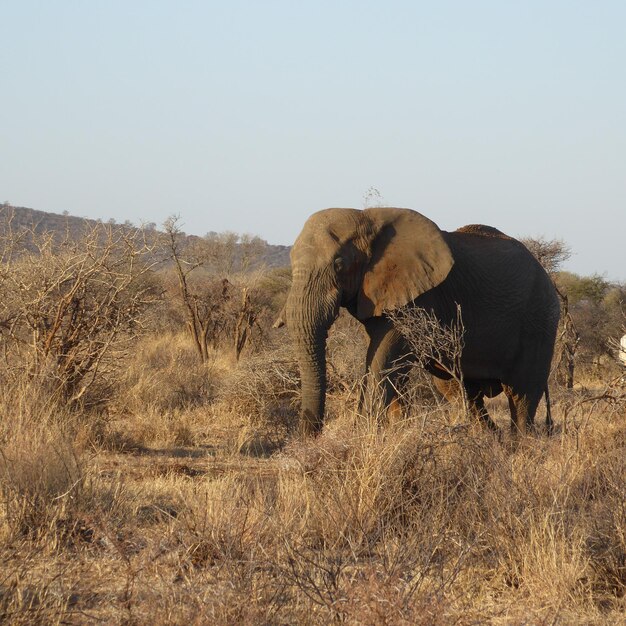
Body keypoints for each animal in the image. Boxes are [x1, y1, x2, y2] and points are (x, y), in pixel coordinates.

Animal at [282, 207, 560, 436]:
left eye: (339, 264)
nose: (310, 436)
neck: (368, 217)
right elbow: (386, 360)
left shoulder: (421, 297)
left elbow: (385, 357)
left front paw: (362, 434)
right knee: (460, 391)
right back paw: (490, 440)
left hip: (540, 318)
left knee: (522, 393)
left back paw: (519, 444)